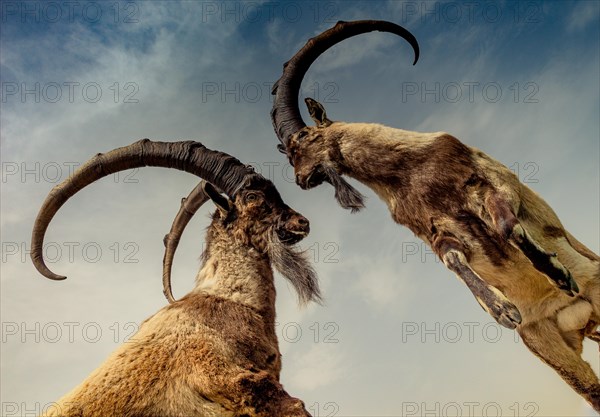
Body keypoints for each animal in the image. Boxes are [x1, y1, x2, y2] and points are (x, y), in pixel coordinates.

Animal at [270, 19, 600, 410]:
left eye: (305, 135)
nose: (302, 179)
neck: (412, 173)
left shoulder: (487, 183)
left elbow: (506, 225)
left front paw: (559, 274)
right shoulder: (435, 230)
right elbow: (453, 259)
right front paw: (502, 310)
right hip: (549, 343)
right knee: (591, 391)